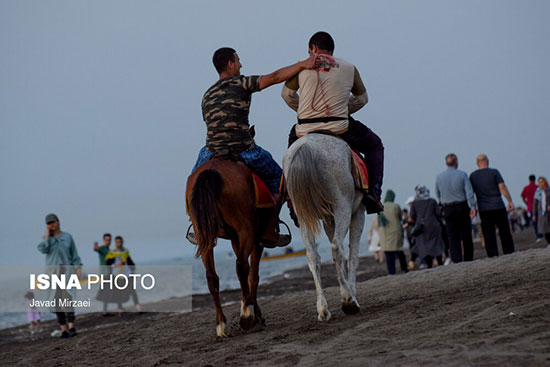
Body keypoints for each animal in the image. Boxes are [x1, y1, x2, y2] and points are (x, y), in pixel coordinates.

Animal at [187, 158, 268, 336]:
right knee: (241, 266)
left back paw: (221, 324)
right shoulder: (255, 239)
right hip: (246, 230)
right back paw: (247, 316)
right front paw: (256, 314)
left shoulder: (236, 239)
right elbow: (253, 275)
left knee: (212, 277)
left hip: (205, 235)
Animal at [284, 134, 366, 320]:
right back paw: (349, 302)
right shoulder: (358, 212)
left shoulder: (329, 219)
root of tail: (307, 146)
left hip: (304, 216)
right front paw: (351, 293)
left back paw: (323, 309)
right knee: (336, 247)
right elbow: (353, 255)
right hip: (342, 206)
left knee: (312, 256)